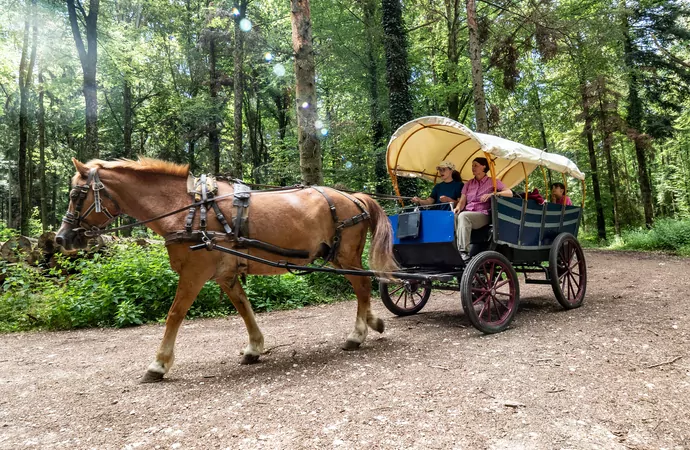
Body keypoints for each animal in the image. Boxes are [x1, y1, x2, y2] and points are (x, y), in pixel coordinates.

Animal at [55, 156, 398, 382]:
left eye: (75, 195)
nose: (61, 237)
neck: (188, 211)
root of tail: (354, 197)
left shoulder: (193, 274)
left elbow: (174, 315)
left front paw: (159, 364)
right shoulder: (225, 275)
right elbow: (244, 308)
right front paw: (254, 347)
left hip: (346, 256)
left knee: (362, 286)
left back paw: (357, 334)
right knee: (363, 287)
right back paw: (372, 322)